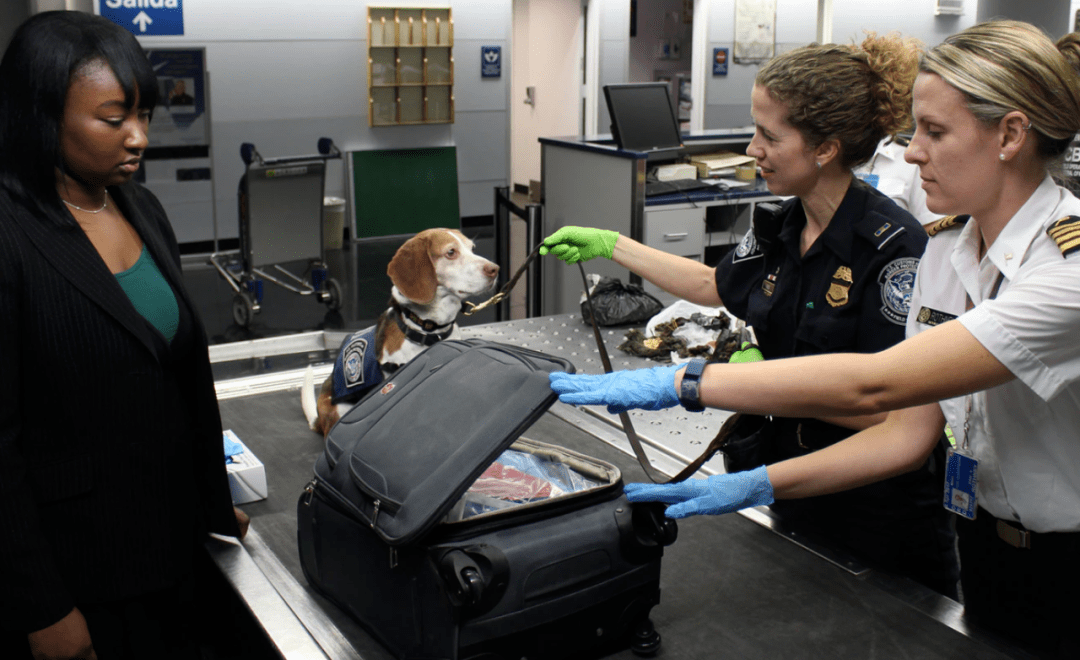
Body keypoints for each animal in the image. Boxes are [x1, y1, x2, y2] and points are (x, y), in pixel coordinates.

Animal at [300, 230, 494, 436]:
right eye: (451, 252)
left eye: (472, 248)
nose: (495, 269)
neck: (429, 330)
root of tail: (319, 421)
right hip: (340, 409)